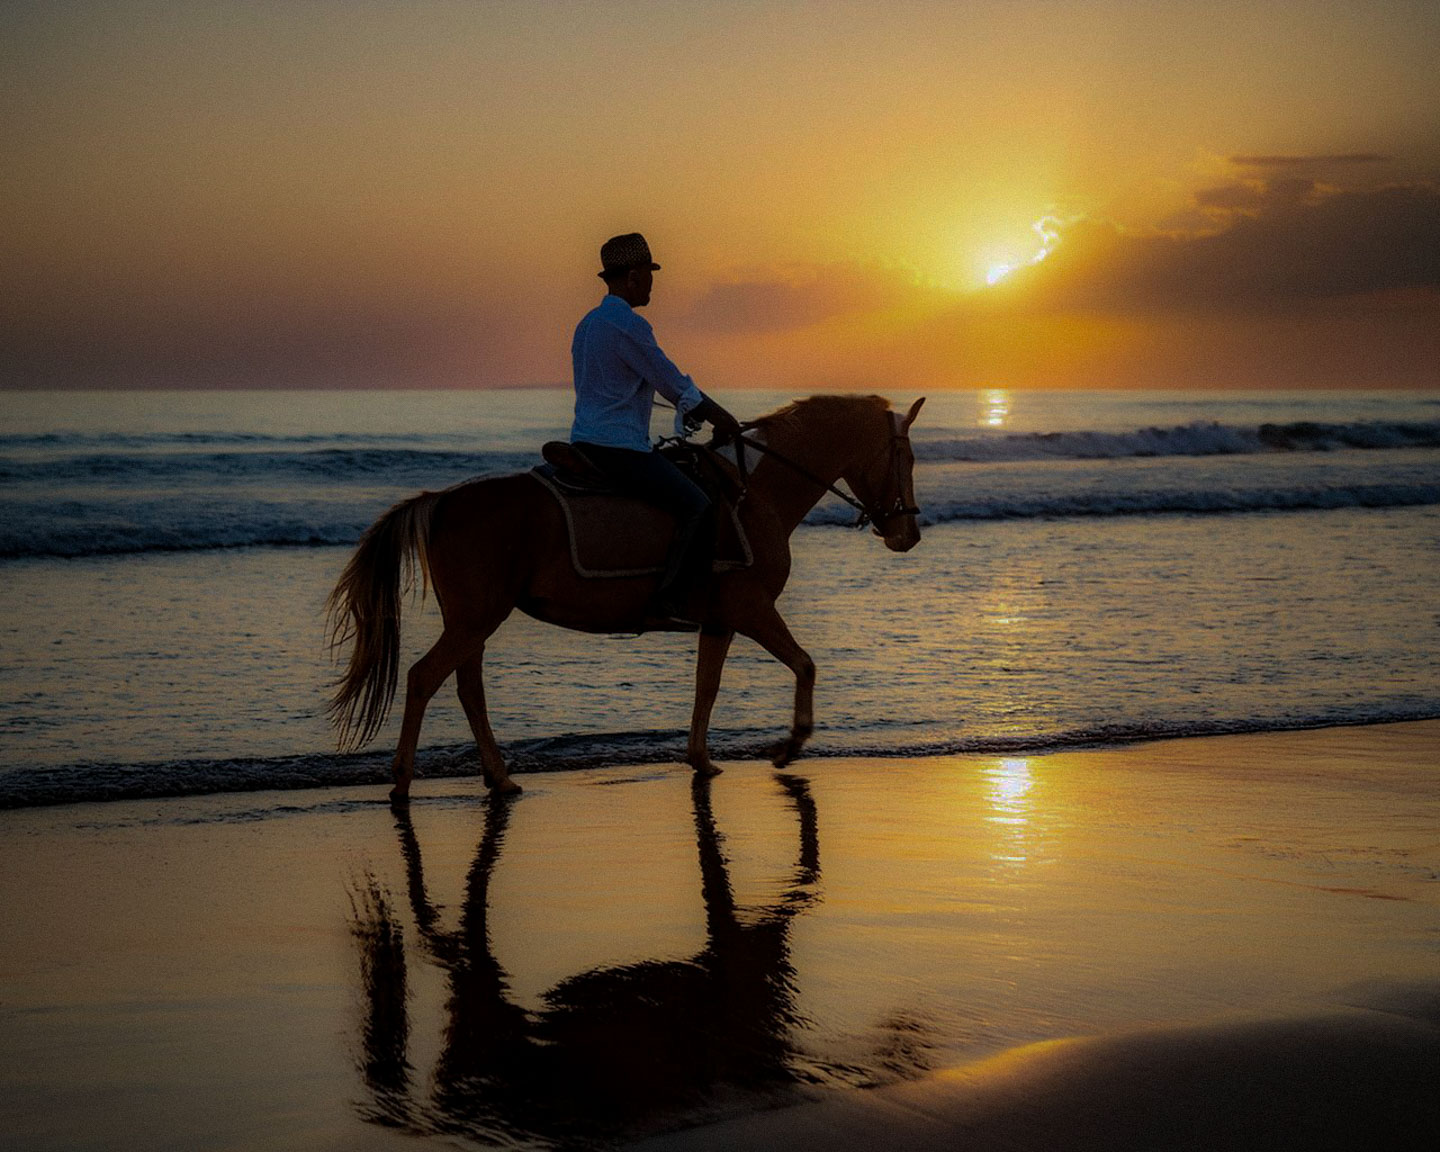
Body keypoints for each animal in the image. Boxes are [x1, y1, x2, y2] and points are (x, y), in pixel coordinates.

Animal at [325, 391, 921, 794]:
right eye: (907, 458)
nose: (908, 534)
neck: (757, 492)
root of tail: (442, 500)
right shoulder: (753, 609)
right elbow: (804, 665)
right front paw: (790, 745)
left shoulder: (721, 620)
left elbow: (707, 687)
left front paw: (700, 760)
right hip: (475, 618)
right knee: (424, 678)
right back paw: (404, 778)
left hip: (474, 620)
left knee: (468, 688)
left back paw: (499, 778)